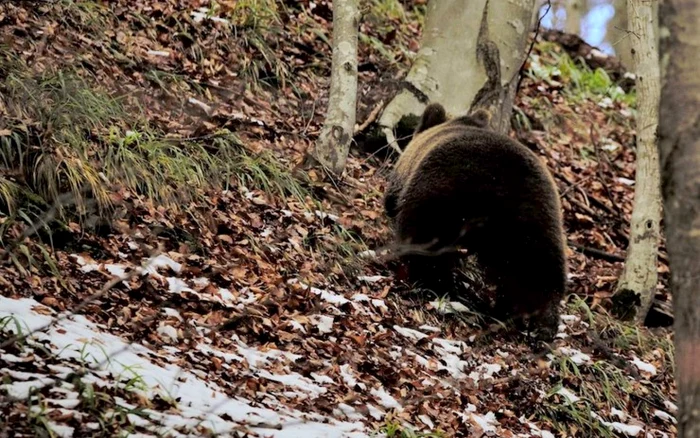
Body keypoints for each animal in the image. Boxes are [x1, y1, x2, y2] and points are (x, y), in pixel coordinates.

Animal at [382, 102, 568, 338]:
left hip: (442, 196)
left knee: (424, 239)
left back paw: (428, 281)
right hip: (537, 217)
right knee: (539, 269)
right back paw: (538, 321)